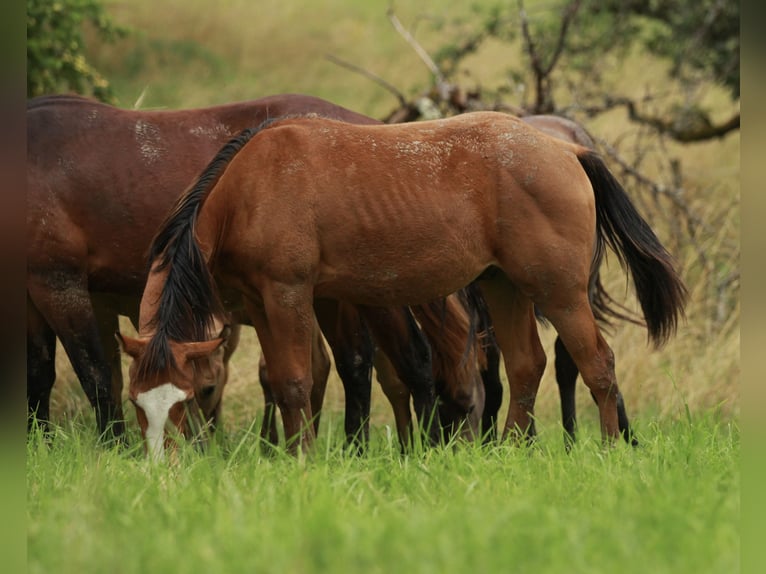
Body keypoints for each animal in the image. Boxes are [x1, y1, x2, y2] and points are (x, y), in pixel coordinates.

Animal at [123, 111, 688, 454]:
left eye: (187, 398)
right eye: (136, 402)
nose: (160, 469)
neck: (251, 187)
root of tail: (565, 150)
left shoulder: (289, 295)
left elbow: (297, 380)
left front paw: (302, 459)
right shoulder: (261, 305)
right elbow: (283, 383)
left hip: (561, 295)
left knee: (598, 365)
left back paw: (609, 450)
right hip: (503, 286)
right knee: (528, 366)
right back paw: (511, 451)